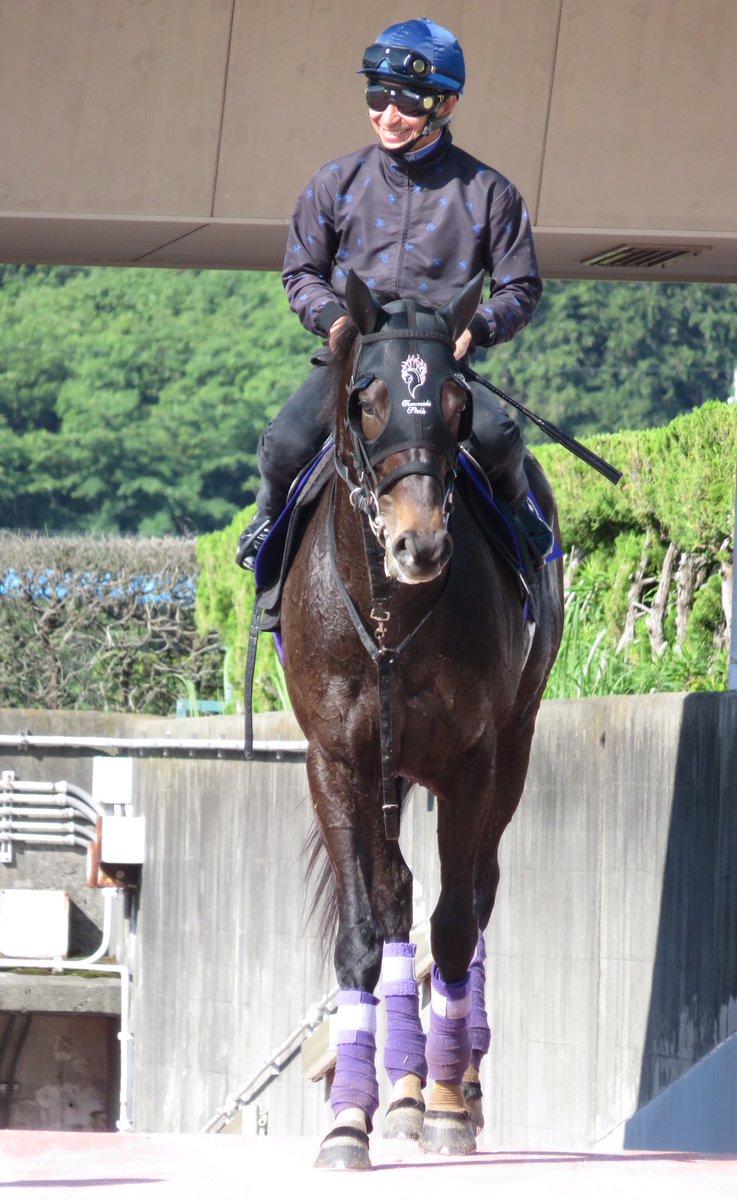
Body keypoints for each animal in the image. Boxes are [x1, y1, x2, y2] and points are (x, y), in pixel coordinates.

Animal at [279, 270, 564, 1169]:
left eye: (454, 401)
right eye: (366, 399)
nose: (420, 545)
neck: (388, 612)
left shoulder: (472, 758)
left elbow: (455, 923)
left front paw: (446, 1108)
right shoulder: (336, 760)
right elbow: (366, 929)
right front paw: (349, 1120)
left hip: (512, 749)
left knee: (476, 895)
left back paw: (452, 1087)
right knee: (398, 893)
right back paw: (399, 1091)